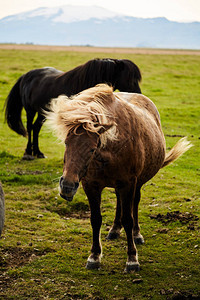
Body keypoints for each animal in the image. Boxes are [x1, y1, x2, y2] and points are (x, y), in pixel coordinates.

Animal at [5, 57, 142, 158]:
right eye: (130, 79)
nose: (139, 95)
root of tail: (26, 75)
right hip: (30, 110)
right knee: (29, 127)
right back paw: (28, 153)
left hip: (42, 112)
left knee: (36, 127)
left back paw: (38, 153)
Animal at [45, 83, 192, 270]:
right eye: (66, 143)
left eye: (92, 149)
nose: (67, 187)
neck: (112, 148)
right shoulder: (91, 185)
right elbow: (96, 219)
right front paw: (94, 256)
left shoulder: (128, 183)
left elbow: (128, 219)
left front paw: (132, 259)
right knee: (118, 202)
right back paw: (114, 229)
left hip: (136, 184)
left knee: (134, 204)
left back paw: (136, 234)